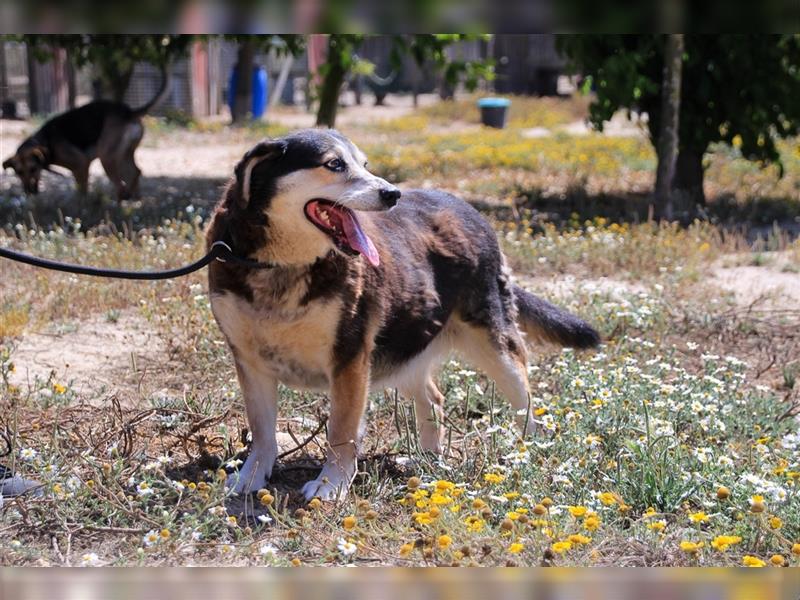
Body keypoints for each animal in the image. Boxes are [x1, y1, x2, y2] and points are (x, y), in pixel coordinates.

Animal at [3, 66, 170, 199]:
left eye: (33, 169)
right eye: (18, 172)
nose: (29, 192)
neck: (46, 141)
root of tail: (128, 112)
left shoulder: (81, 164)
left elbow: (81, 192)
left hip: (106, 157)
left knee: (124, 182)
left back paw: (122, 199)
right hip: (123, 156)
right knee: (135, 173)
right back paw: (134, 200)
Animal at [206, 129, 600, 500]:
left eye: (364, 164)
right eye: (335, 164)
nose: (392, 194)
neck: (281, 264)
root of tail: (471, 210)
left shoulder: (350, 357)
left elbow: (341, 430)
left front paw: (331, 484)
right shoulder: (249, 360)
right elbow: (262, 431)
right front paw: (251, 477)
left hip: (495, 346)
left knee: (526, 405)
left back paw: (527, 452)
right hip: (404, 350)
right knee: (435, 400)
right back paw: (427, 459)